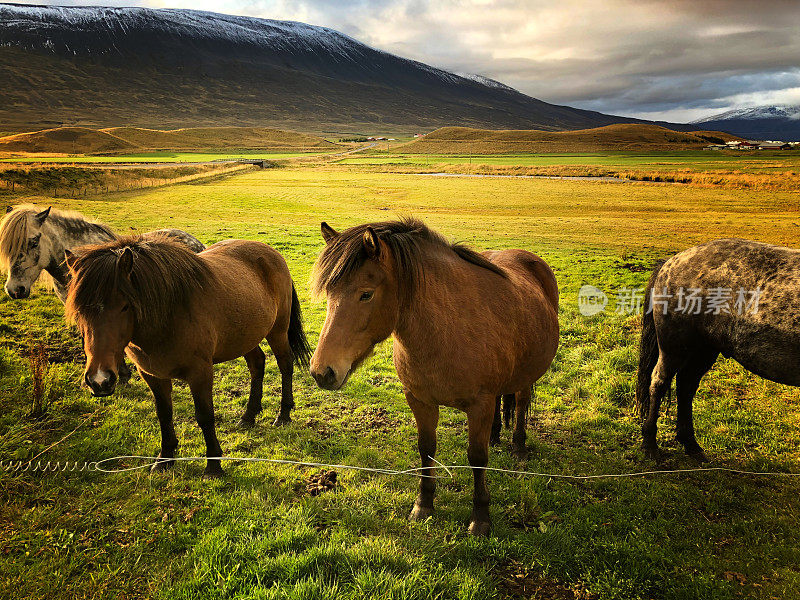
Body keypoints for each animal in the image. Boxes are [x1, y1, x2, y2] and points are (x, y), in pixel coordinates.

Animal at [64, 234, 310, 478]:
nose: (100, 380)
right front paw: (165, 458)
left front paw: (213, 465)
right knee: (257, 365)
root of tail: (272, 253)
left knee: (285, 365)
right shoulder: (153, 375)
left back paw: (283, 414)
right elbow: (164, 414)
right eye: (79, 310)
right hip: (246, 336)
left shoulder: (200, 373)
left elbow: (205, 416)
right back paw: (248, 416)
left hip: (277, 331)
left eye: (125, 306)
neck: (170, 314)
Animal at [310, 218, 560, 536]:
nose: (322, 371)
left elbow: (477, 458)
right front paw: (423, 505)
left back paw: (518, 447)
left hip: (527, 376)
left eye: (366, 293)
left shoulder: (479, 405)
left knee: (521, 402)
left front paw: (480, 518)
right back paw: (495, 437)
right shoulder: (420, 401)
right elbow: (426, 450)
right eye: (329, 293)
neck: (445, 330)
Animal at [636, 237, 800, 462]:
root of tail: (671, 262)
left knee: (686, 386)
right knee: (660, 383)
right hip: (674, 348)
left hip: (704, 350)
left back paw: (691, 444)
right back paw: (650, 444)